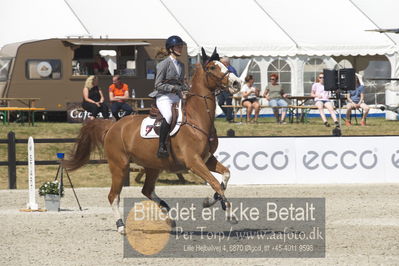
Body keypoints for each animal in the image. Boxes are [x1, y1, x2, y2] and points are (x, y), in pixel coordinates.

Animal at [64, 47, 242, 233]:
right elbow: (215, 182)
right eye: (212, 67)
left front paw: (212, 201)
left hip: (152, 166)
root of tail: (113, 126)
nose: (237, 83)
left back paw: (169, 217)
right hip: (119, 166)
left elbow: (226, 175)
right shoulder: (193, 162)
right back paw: (121, 226)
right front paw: (230, 215)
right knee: (114, 195)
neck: (197, 118)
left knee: (147, 190)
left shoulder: (207, 159)